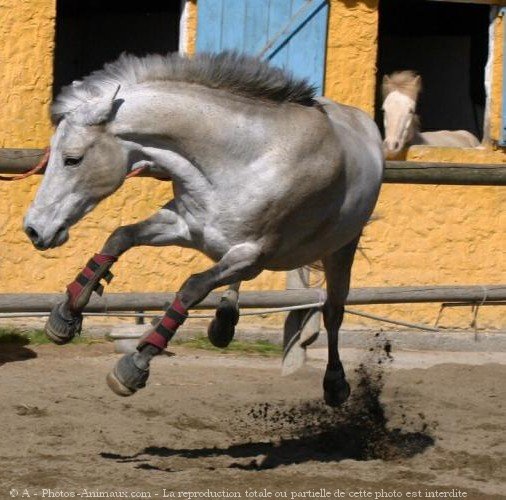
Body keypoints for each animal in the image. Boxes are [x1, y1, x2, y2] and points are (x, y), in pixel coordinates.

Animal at [21, 51, 382, 406]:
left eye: (72, 159)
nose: (34, 229)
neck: (240, 159)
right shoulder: (185, 226)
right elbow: (119, 238)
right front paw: (66, 315)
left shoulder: (252, 255)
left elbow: (192, 287)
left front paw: (134, 365)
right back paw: (223, 322)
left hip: (341, 248)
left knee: (333, 311)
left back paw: (335, 384)